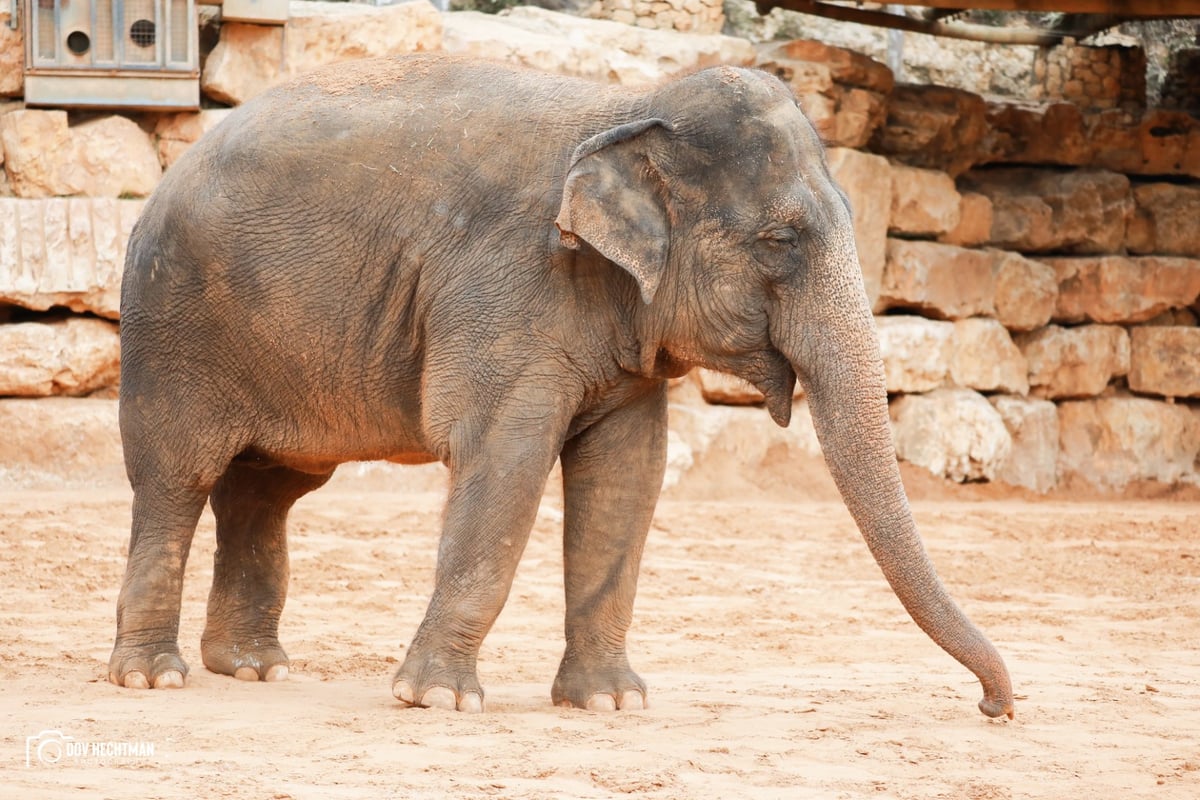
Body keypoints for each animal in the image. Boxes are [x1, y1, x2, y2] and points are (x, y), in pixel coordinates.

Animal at [110, 54, 1012, 719]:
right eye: (780, 241)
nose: (994, 707)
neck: (626, 105)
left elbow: (626, 476)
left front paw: (610, 705)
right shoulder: (511, 290)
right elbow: (504, 459)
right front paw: (438, 701)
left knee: (269, 488)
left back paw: (253, 670)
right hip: (172, 327)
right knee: (178, 477)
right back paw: (155, 678)